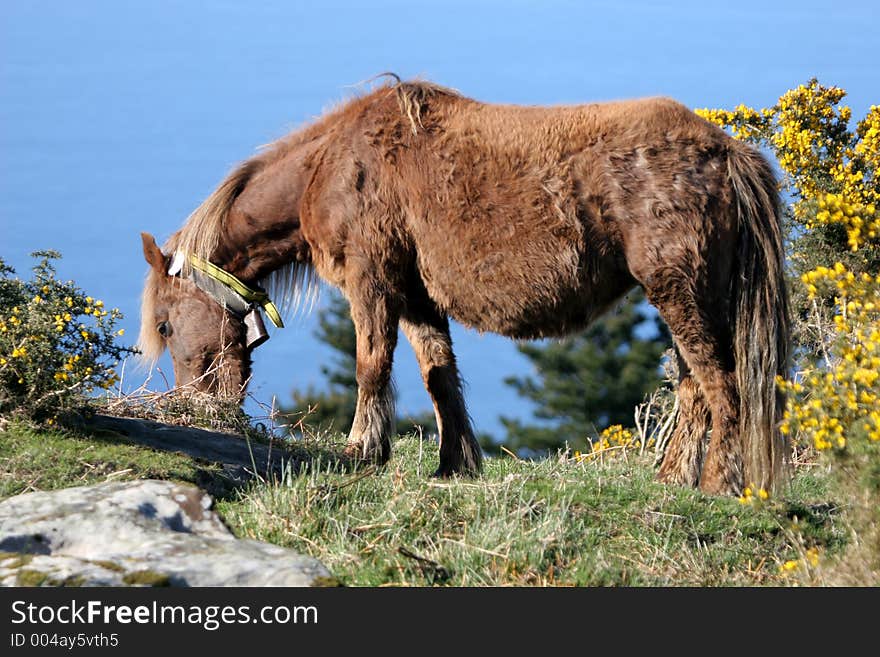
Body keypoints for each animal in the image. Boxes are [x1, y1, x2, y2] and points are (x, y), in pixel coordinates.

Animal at [139, 77, 792, 494]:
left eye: (166, 324)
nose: (191, 403)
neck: (333, 167)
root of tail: (725, 151)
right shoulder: (417, 296)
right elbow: (439, 375)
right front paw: (455, 464)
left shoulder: (371, 283)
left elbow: (371, 366)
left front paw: (361, 452)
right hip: (686, 297)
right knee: (693, 385)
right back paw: (672, 478)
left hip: (680, 292)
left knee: (721, 384)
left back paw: (715, 485)